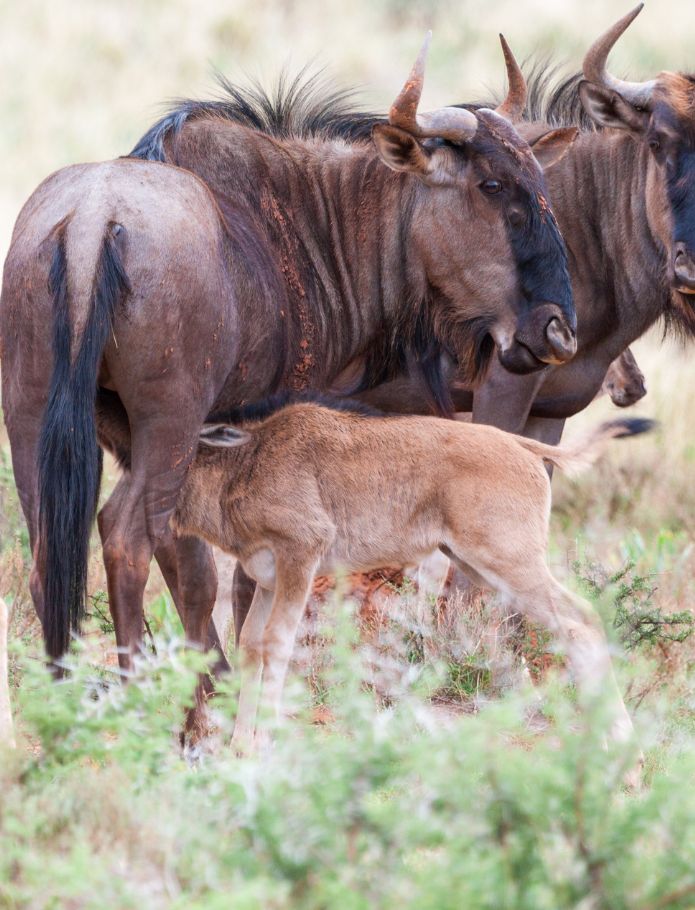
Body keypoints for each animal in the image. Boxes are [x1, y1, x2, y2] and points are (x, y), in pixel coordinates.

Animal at [174, 398, 652, 748]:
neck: (246, 462)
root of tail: (523, 447)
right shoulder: (270, 580)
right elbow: (252, 645)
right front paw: (238, 747)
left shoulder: (299, 561)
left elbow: (276, 644)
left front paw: (260, 747)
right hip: (481, 569)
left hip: (512, 565)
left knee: (581, 620)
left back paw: (624, 748)